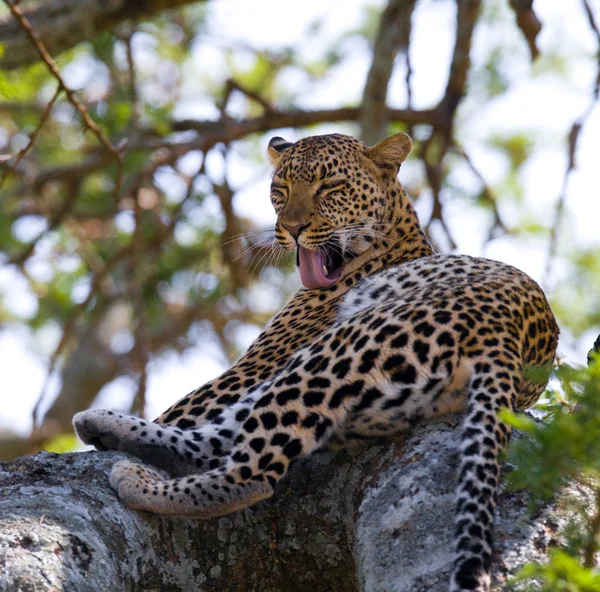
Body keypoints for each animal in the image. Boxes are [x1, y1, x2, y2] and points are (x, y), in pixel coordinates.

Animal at [74, 131, 556, 592]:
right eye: (280, 189)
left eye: (331, 187)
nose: (293, 228)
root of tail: (507, 340)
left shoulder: (253, 366)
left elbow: (186, 410)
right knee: (216, 440)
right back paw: (105, 425)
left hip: (336, 348)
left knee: (252, 471)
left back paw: (139, 482)